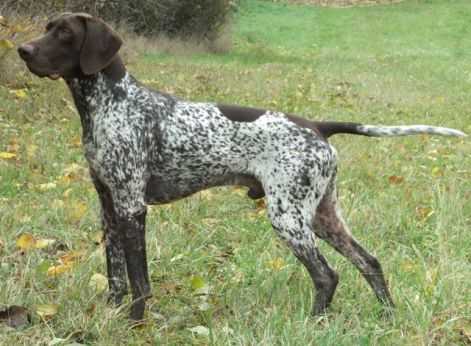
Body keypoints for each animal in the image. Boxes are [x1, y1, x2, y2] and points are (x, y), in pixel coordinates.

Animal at [16, 13, 466, 322]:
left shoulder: (131, 207)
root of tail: (316, 125)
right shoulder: (108, 207)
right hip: (323, 216)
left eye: (65, 33)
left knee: (327, 275)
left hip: (289, 217)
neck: (111, 104)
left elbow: (140, 281)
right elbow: (116, 276)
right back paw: (387, 316)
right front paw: (112, 315)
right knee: (369, 263)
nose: (23, 50)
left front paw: (135, 324)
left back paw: (314, 322)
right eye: (48, 27)